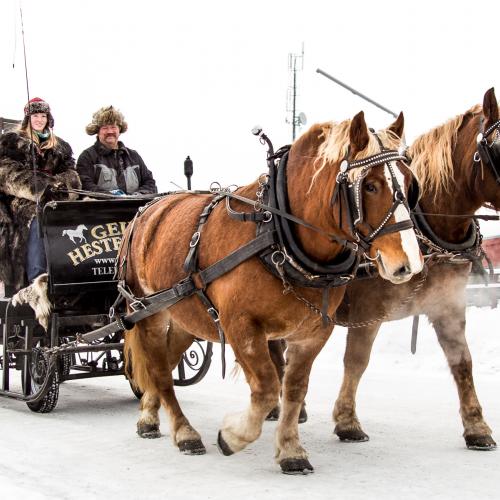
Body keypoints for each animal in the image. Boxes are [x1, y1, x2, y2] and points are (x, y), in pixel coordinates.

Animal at [119, 111, 424, 474]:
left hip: (185, 316)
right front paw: (233, 436)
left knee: (165, 360)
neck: (276, 235)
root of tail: (146, 210)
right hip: (148, 312)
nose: (409, 264)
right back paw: (184, 432)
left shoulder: (313, 332)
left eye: (410, 184)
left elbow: (293, 389)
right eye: (371, 185)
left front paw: (290, 450)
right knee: (160, 371)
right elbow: (266, 388)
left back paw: (149, 416)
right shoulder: (241, 327)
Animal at [330, 88, 498, 452]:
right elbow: (356, 361)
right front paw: (347, 421)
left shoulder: (449, 306)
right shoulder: (368, 312)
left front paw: (477, 427)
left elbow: (462, 361)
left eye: (410, 183)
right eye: (498, 148)